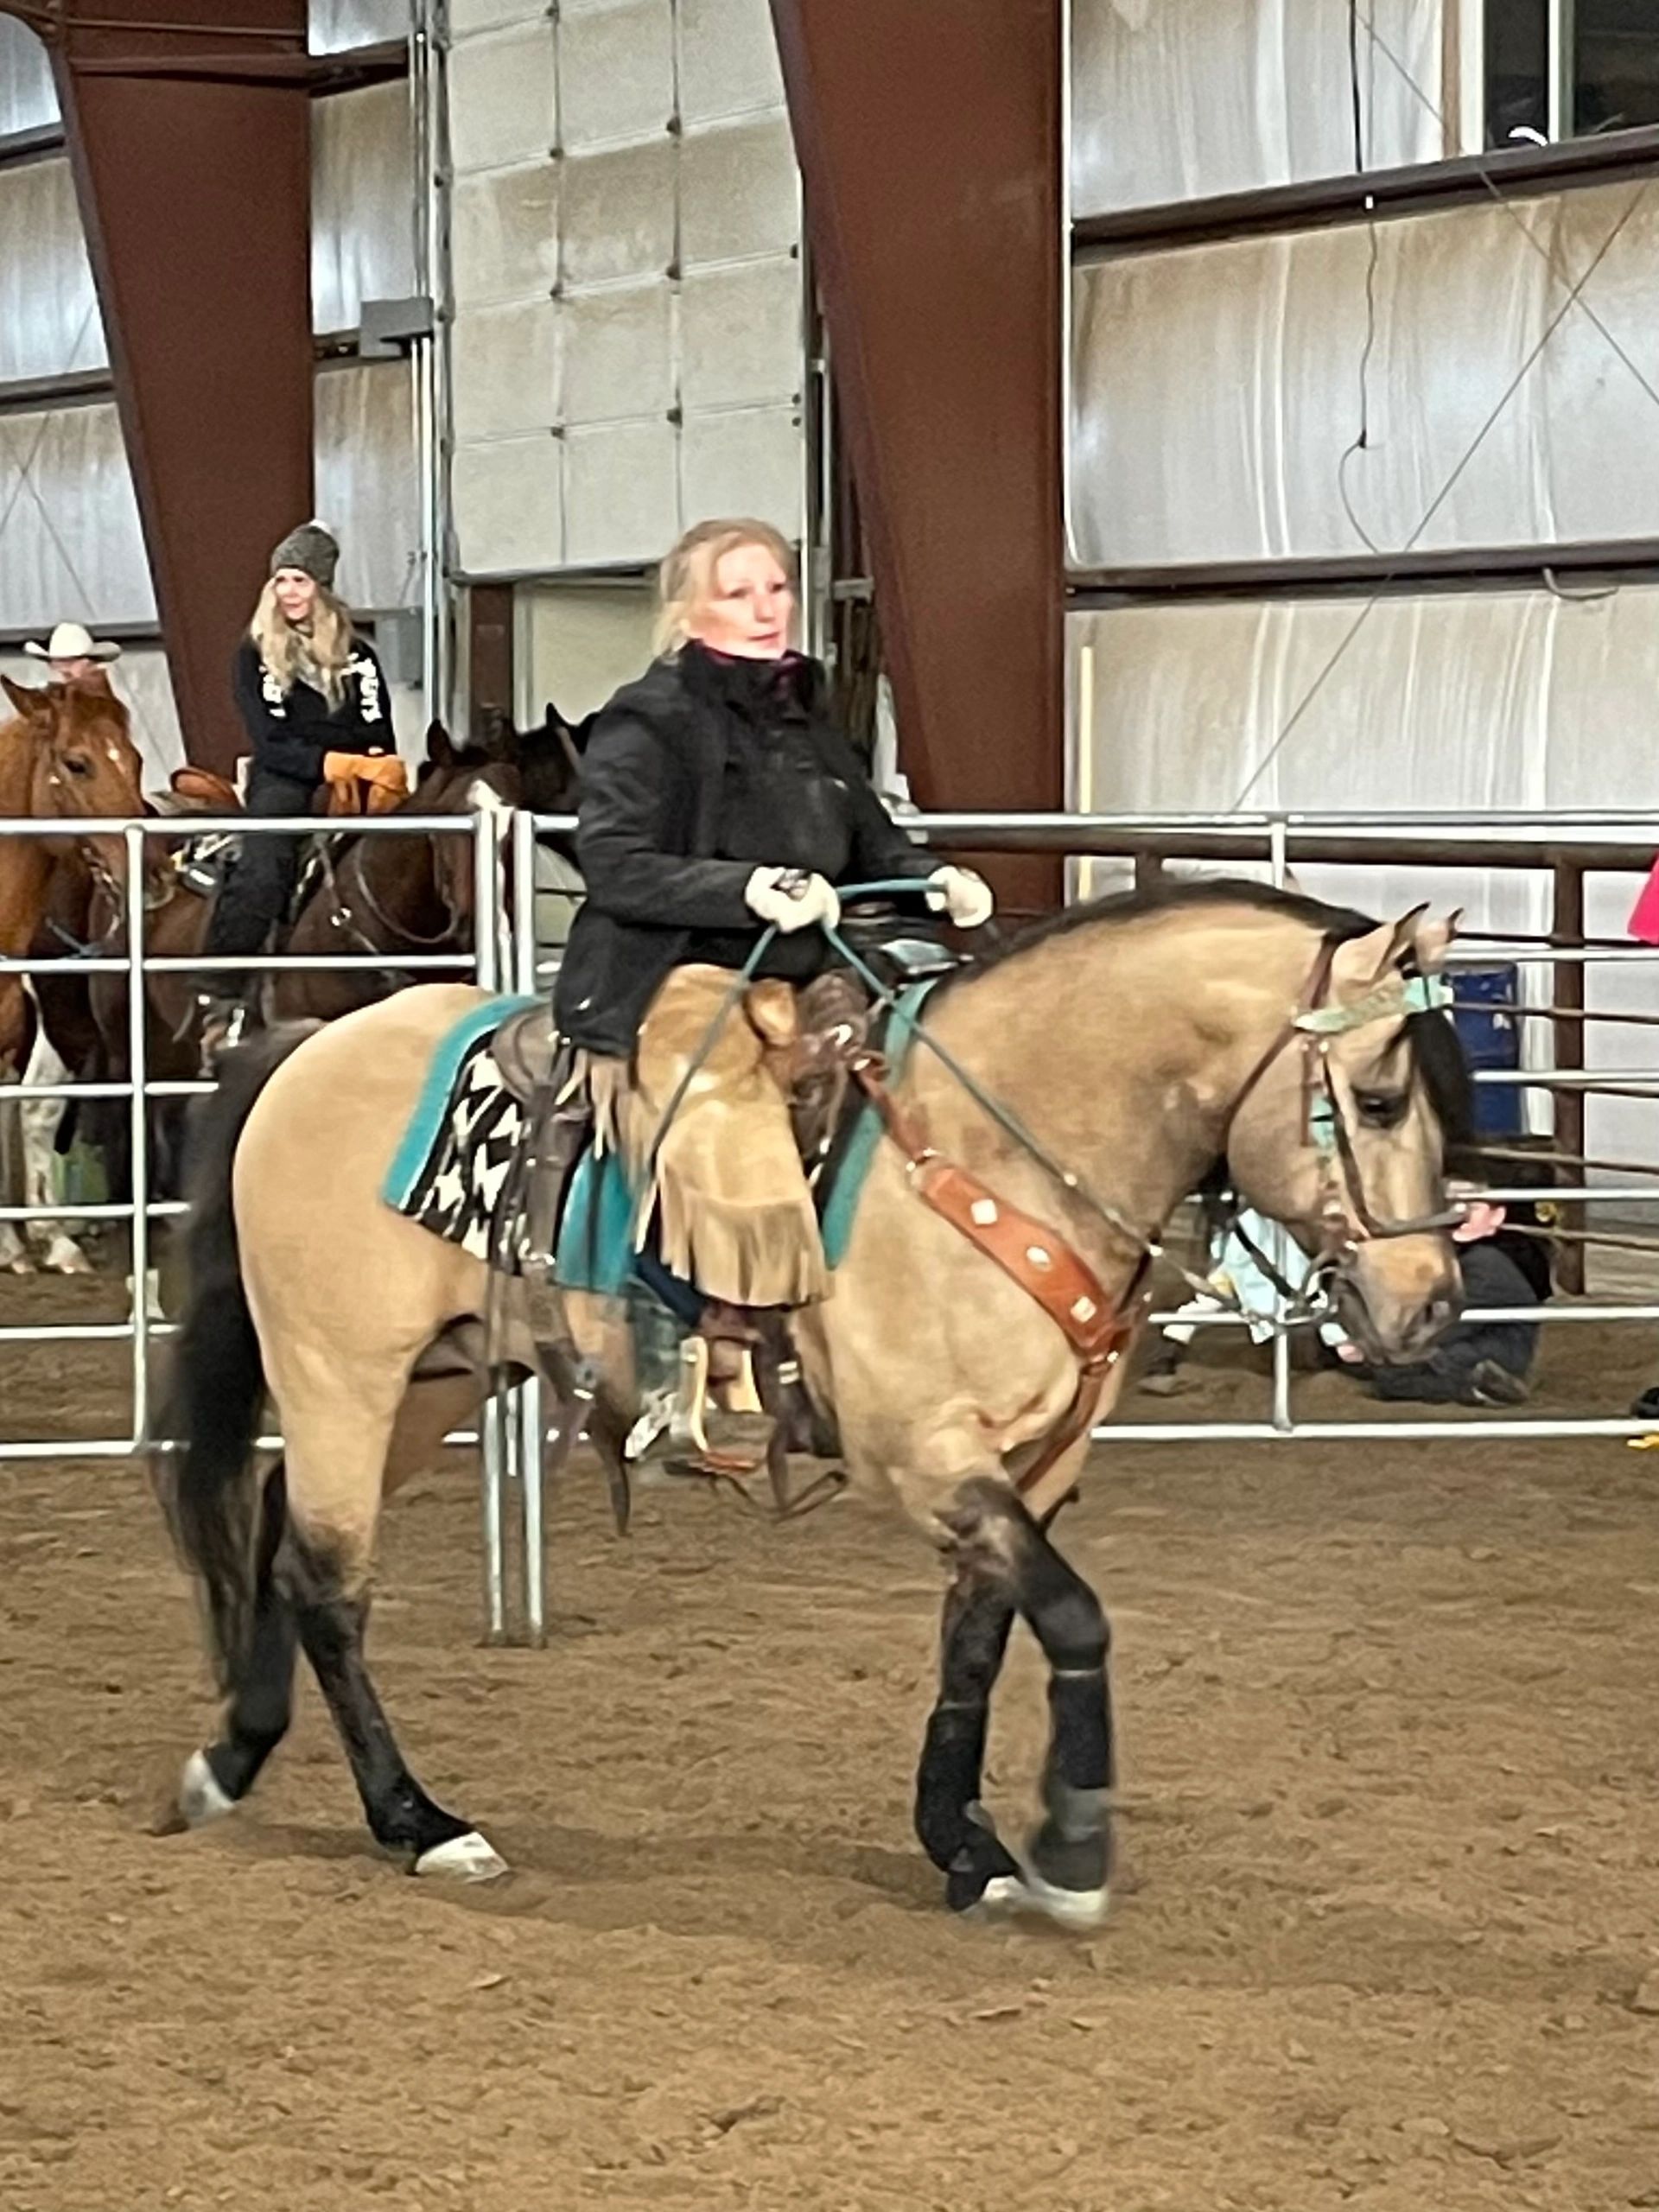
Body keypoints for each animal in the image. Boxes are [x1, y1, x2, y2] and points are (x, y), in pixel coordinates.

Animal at [155, 879, 1469, 1923]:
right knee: (330, 1584)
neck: (994, 1150)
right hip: (341, 1370)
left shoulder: (1031, 1467)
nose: (1430, 1306)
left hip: (428, 1382)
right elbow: (1076, 1617)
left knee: (277, 1532)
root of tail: (304, 1046)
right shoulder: (925, 1452)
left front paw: (968, 1846)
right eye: (1382, 1098)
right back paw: (419, 1821)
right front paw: (1071, 1843)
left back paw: (234, 1756)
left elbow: (983, 1639)